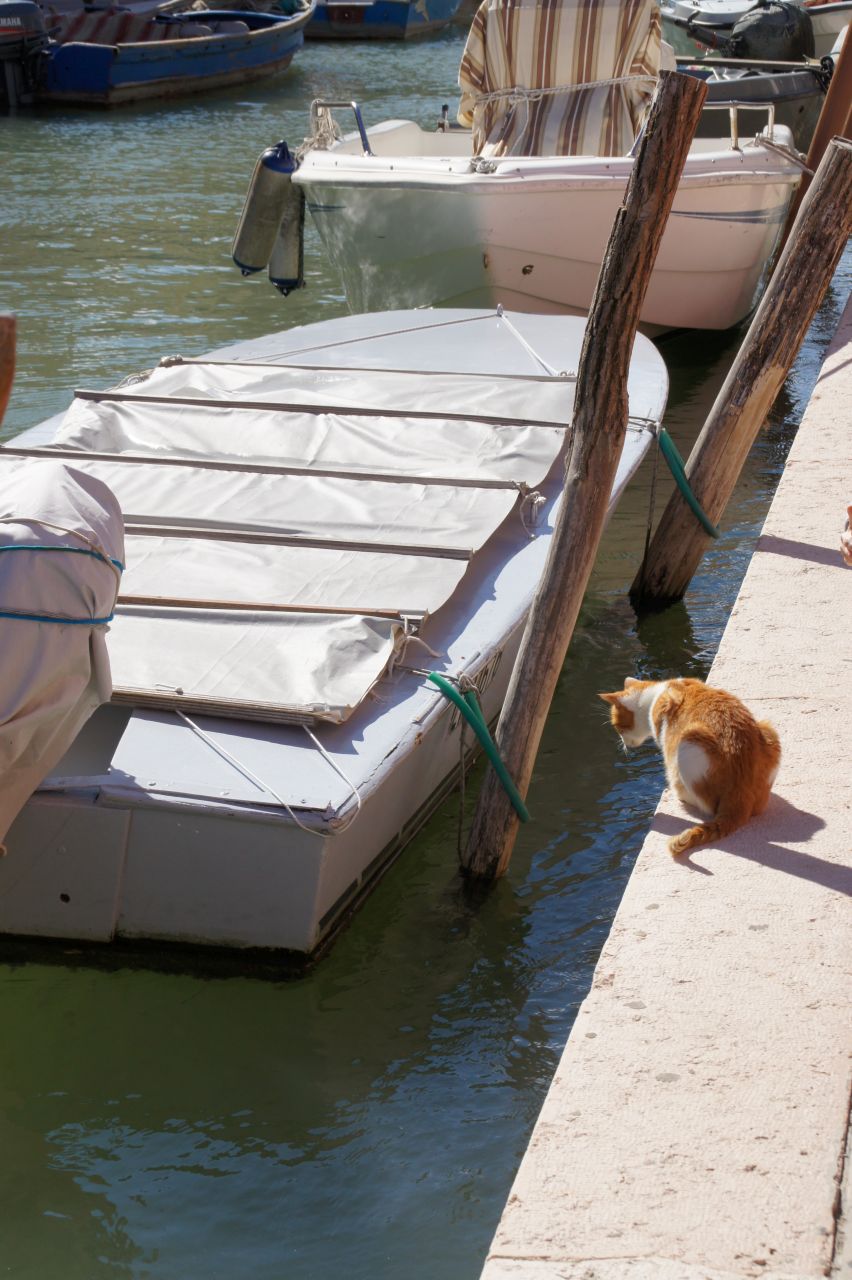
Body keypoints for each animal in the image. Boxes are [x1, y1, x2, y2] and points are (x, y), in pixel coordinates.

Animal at [599, 677, 781, 857]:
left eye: (618, 727)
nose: (623, 744)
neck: (655, 696)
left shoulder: (667, 745)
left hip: (688, 741)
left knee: (706, 805)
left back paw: (682, 795)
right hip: (769, 731)